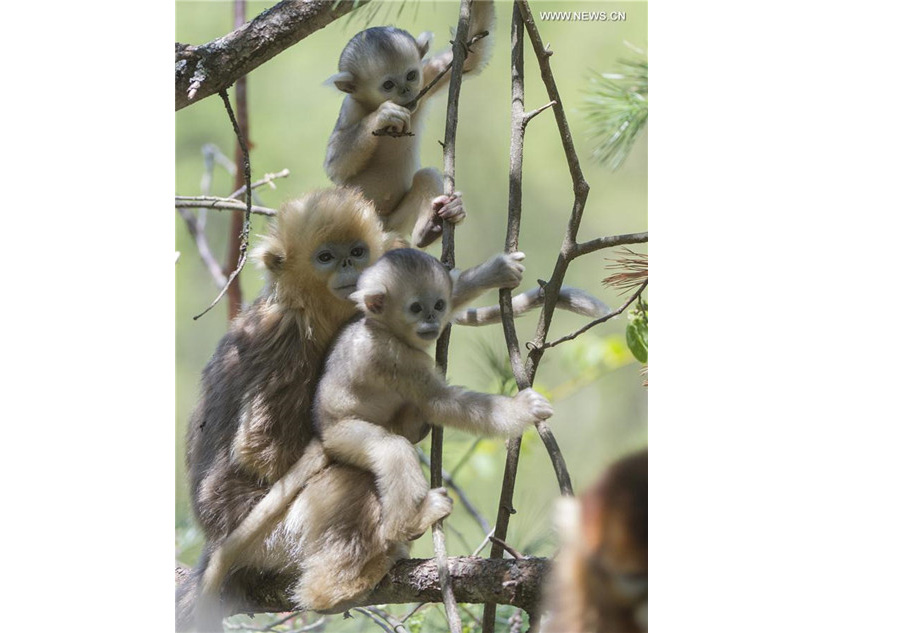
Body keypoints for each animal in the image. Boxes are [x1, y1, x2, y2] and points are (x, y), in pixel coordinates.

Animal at [324, 0, 496, 247]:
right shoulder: (351, 108)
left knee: (426, 175)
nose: (406, 91)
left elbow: (470, 55)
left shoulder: (427, 75)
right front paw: (383, 115)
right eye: (388, 85)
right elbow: (335, 166)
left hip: (396, 223)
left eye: (411, 76)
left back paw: (431, 227)